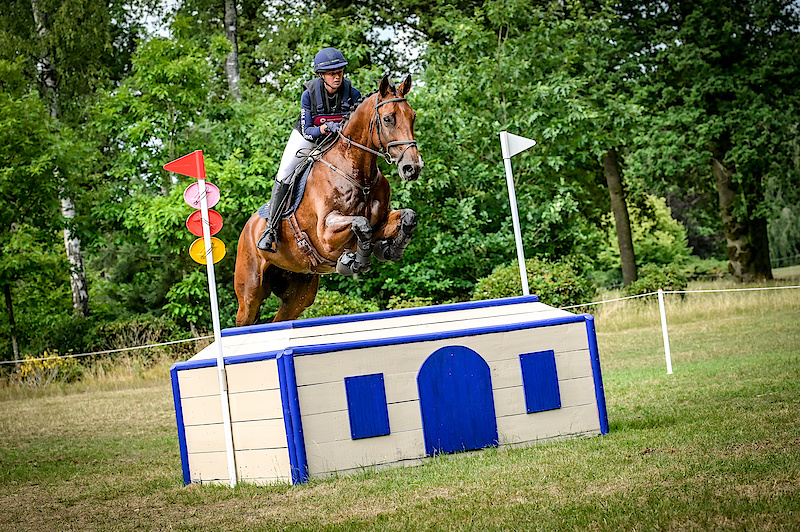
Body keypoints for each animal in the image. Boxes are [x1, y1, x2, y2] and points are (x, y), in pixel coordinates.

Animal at [234, 75, 423, 325]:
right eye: (388, 118)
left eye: (413, 116)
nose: (413, 167)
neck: (357, 172)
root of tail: (248, 227)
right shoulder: (326, 235)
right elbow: (361, 224)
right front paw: (354, 262)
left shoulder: (381, 221)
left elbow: (407, 216)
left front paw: (391, 250)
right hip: (250, 293)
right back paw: (268, 238)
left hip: (299, 292)